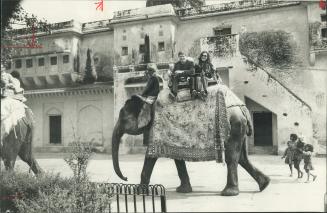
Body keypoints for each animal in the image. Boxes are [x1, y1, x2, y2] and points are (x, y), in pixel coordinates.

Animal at [113, 95, 272, 196]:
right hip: (240, 127)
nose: (126, 178)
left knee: (232, 158)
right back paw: (265, 184)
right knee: (242, 158)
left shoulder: (157, 127)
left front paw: (138, 192)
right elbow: (177, 159)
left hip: (234, 125)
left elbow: (151, 155)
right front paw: (182, 190)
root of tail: (242, 108)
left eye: (122, 117)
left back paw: (229, 193)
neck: (147, 99)